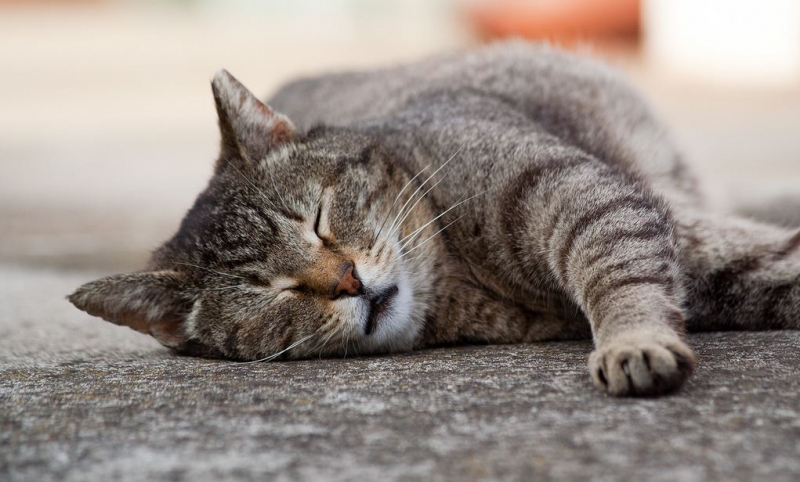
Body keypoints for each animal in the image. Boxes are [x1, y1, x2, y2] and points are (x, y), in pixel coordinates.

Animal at [69, 40, 800, 396]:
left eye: (318, 219)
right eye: (268, 292)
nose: (346, 281)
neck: (461, 275)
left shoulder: (584, 197)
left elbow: (620, 276)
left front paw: (631, 342)